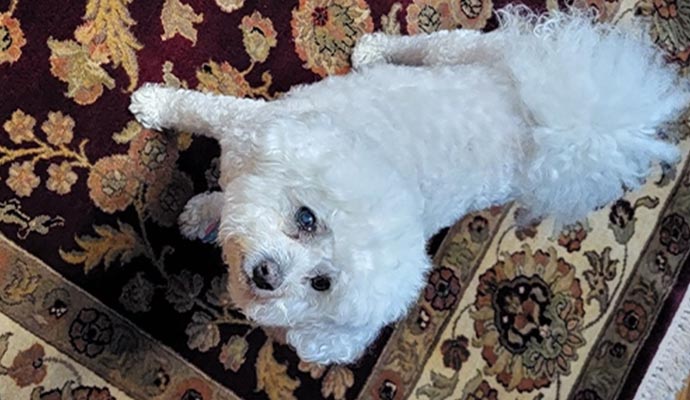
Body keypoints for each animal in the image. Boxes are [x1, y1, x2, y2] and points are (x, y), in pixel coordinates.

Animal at [130, 6, 688, 364]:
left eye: (321, 284)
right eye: (306, 218)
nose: (267, 275)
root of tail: (559, 122)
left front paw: (203, 213)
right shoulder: (251, 126)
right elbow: (199, 109)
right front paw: (154, 105)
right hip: (469, 53)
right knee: (424, 43)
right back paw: (376, 48)